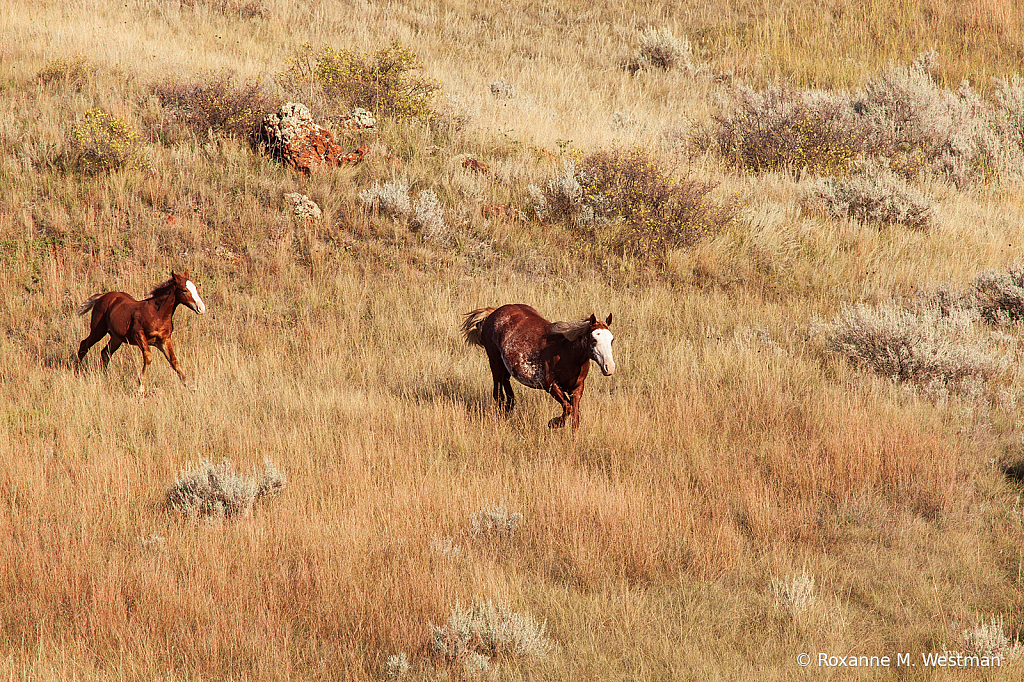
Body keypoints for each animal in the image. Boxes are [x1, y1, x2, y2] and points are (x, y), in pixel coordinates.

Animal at [76, 268, 205, 391]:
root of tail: (102, 296)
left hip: (117, 338)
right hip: (98, 330)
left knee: (105, 353)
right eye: (184, 290)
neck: (156, 314)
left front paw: (190, 385)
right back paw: (77, 372)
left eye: (195, 288)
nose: (201, 308)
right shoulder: (138, 334)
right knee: (84, 345)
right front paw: (141, 387)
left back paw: (105, 377)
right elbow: (148, 356)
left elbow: (174, 361)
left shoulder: (164, 340)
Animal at [464, 303, 614, 430]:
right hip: (495, 364)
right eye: (594, 339)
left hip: (506, 368)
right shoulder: (551, 385)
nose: (609, 367)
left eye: (612, 340)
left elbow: (574, 418)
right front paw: (553, 423)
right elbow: (568, 408)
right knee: (498, 395)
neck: (567, 353)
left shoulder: (576, 389)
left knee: (509, 394)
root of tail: (493, 312)